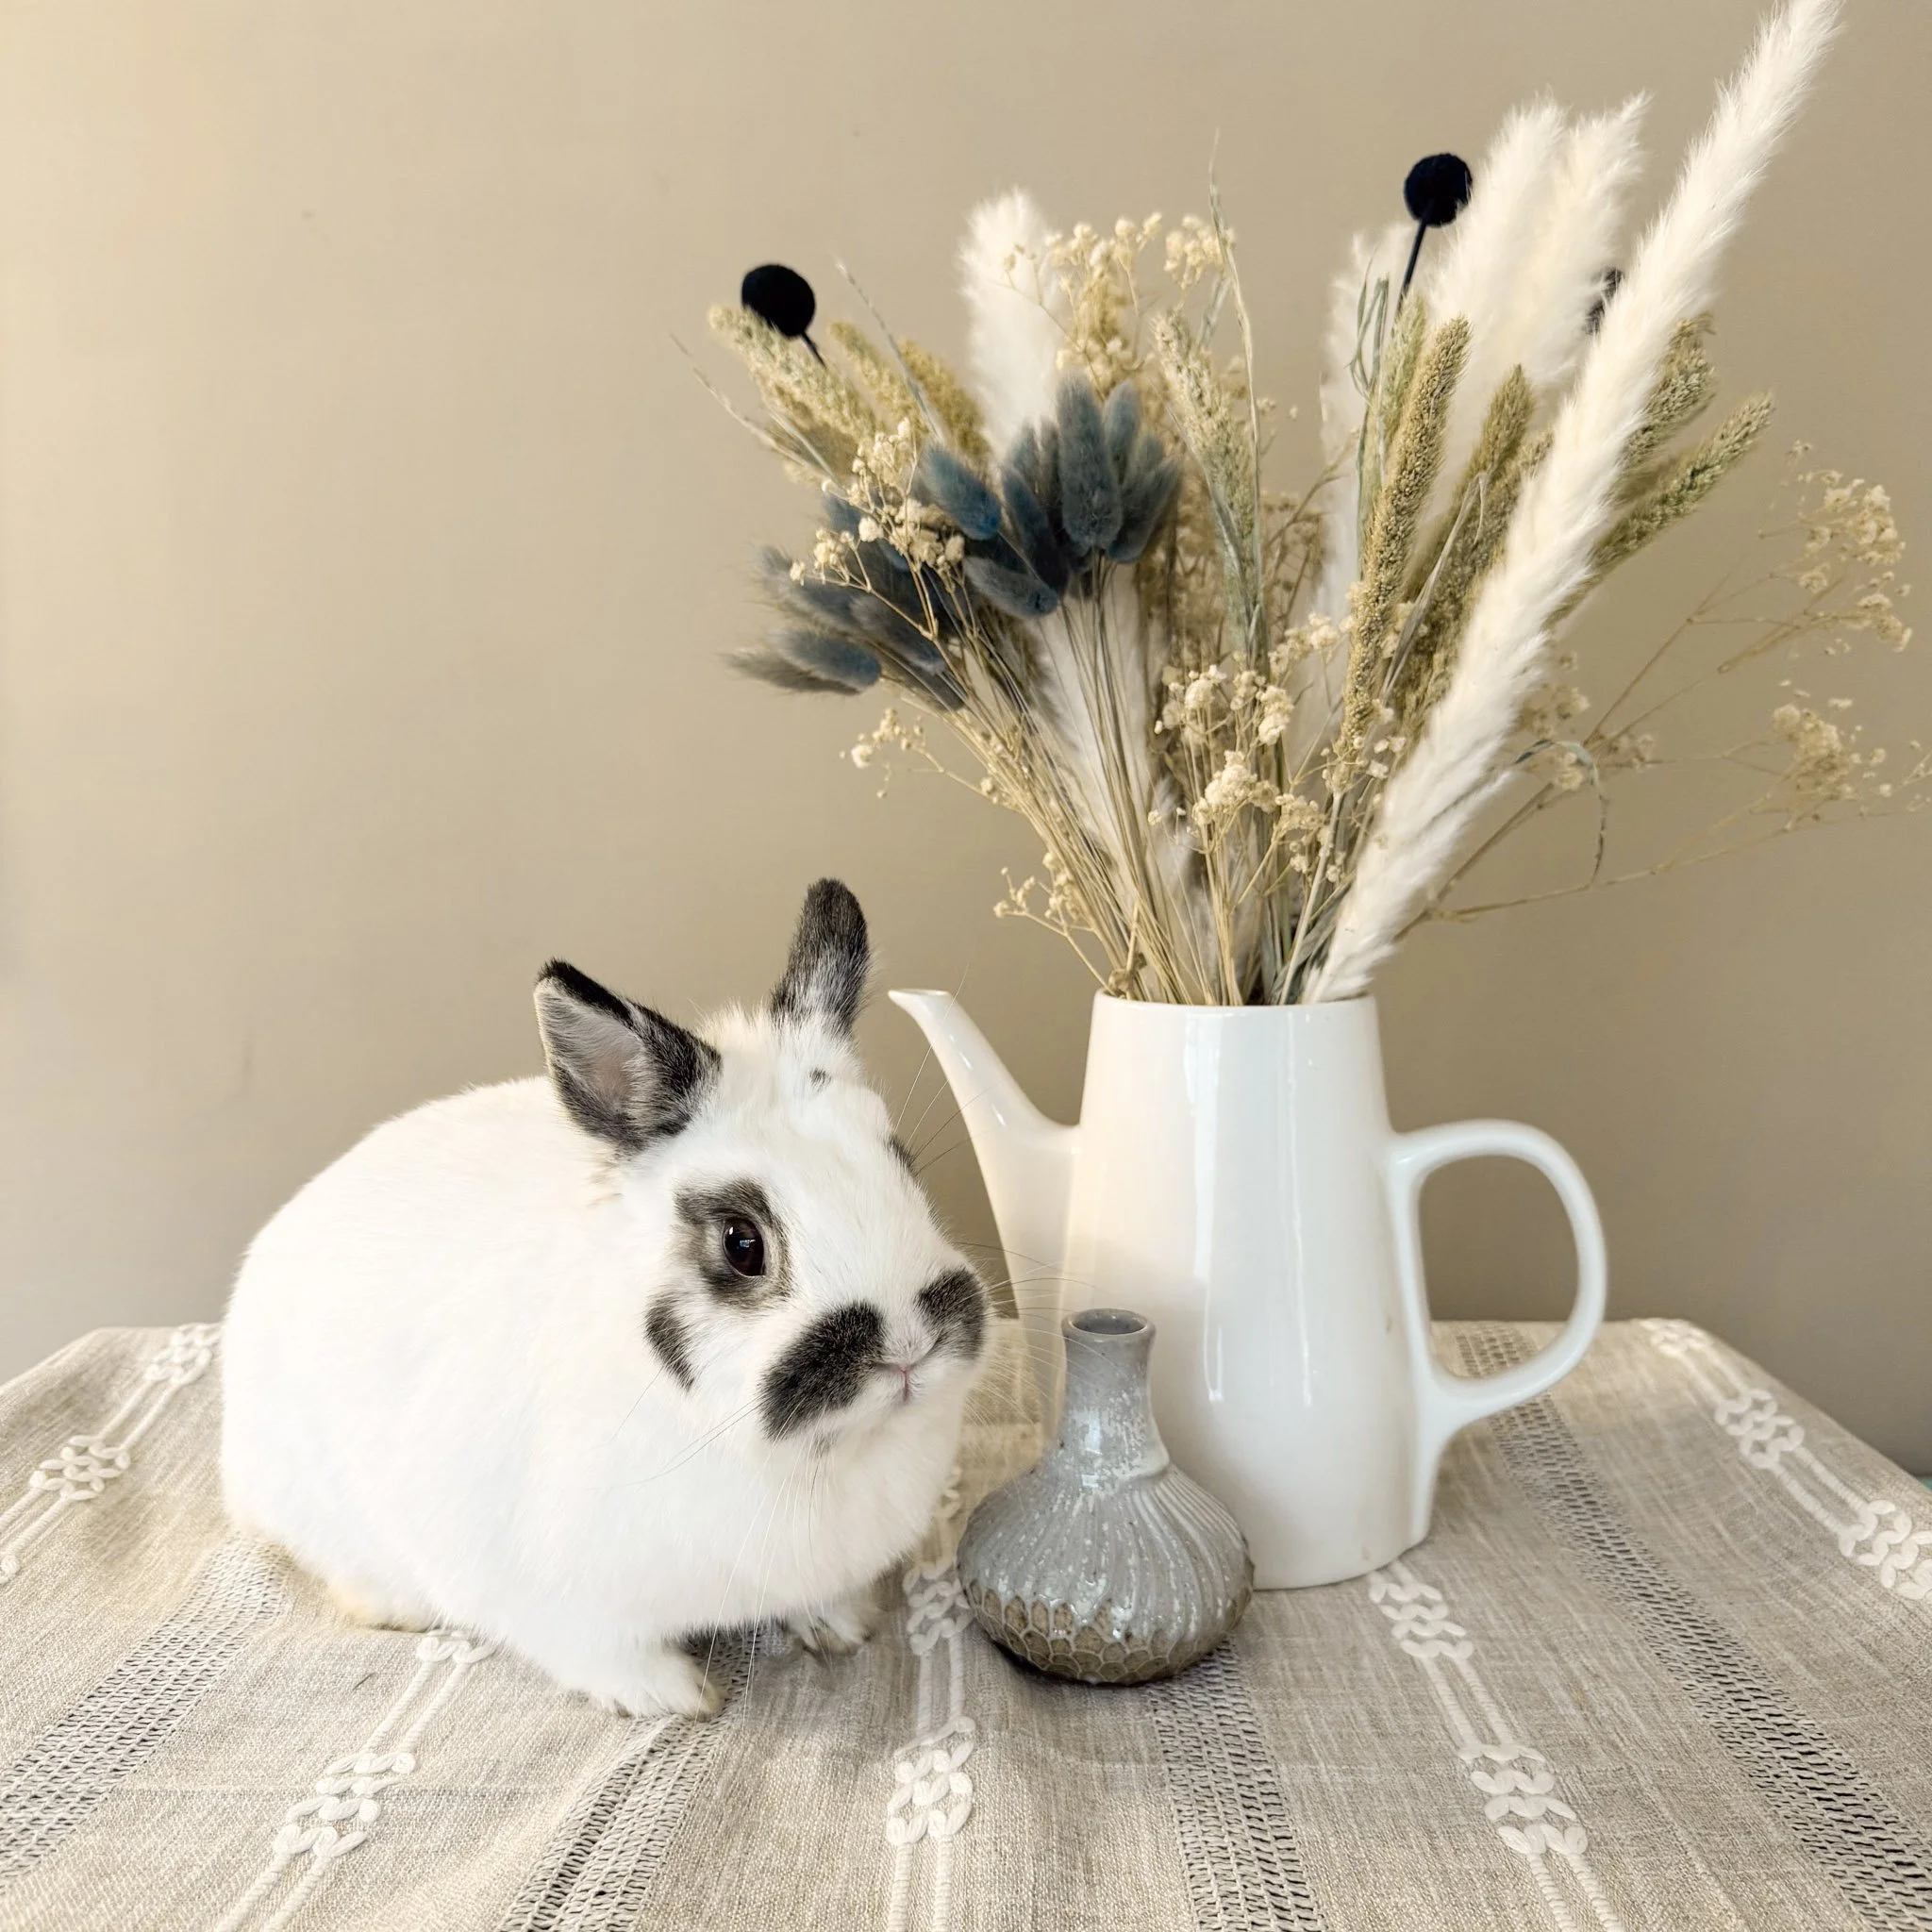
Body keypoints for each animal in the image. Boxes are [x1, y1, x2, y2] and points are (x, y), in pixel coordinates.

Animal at [220, 879, 988, 1719]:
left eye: (903, 1166)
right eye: (741, 1242)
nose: (909, 1343)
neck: (814, 1457)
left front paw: (840, 1627)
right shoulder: (548, 1599)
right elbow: (602, 1653)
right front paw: (676, 1696)